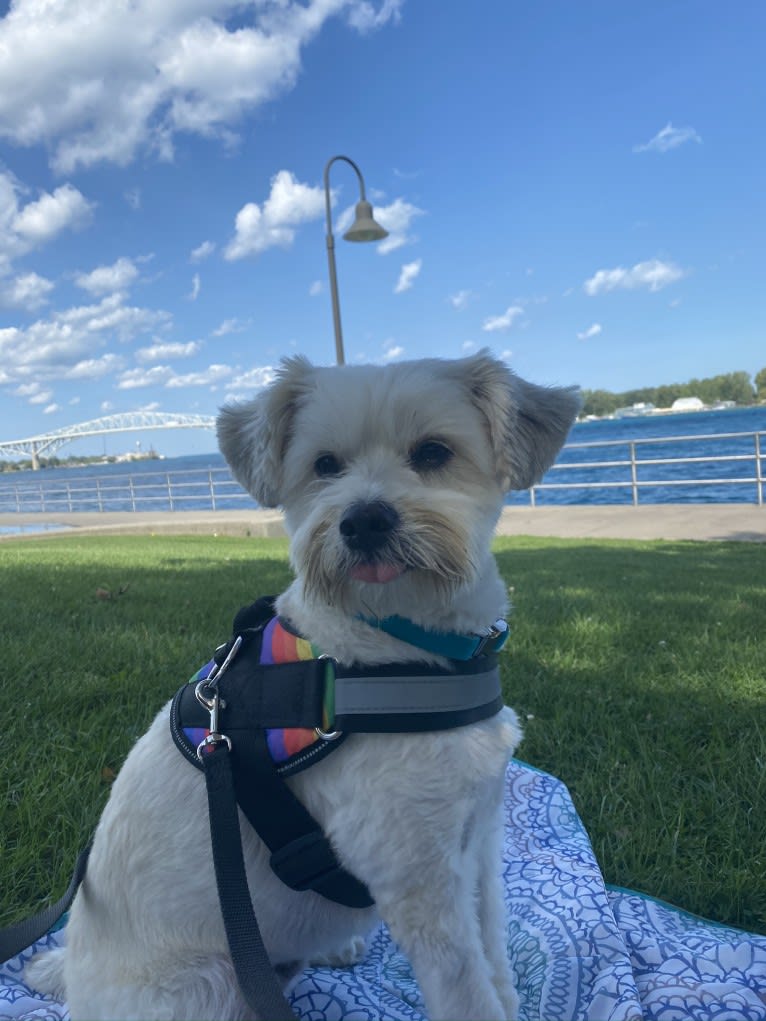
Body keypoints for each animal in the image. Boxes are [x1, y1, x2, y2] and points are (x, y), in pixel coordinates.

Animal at [28, 353, 580, 1021]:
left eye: (433, 452)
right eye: (324, 465)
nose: (364, 519)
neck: (398, 651)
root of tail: (74, 976)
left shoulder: (479, 842)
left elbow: (495, 954)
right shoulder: (418, 876)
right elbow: (469, 994)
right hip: (209, 984)